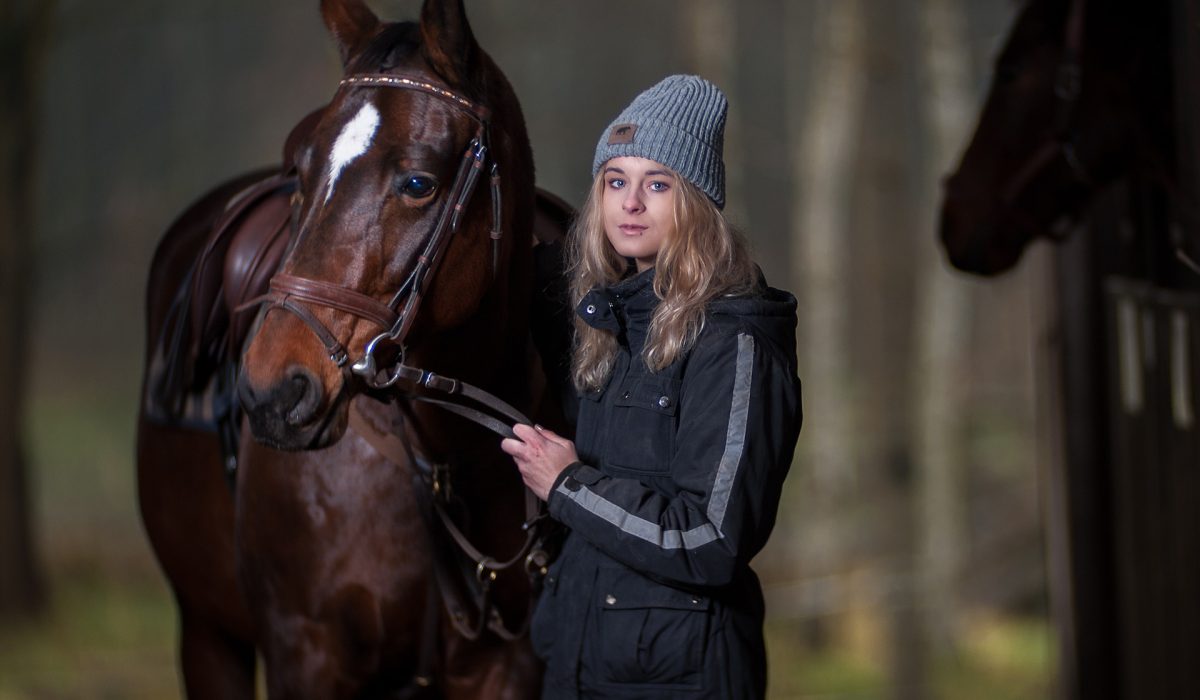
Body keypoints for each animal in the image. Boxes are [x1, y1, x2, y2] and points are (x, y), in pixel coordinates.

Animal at [137, 0, 571, 696]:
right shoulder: (306, 656)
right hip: (208, 635)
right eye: (303, 172)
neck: (444, 461)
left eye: (418, 182)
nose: (272, 390)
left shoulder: (508, 669)